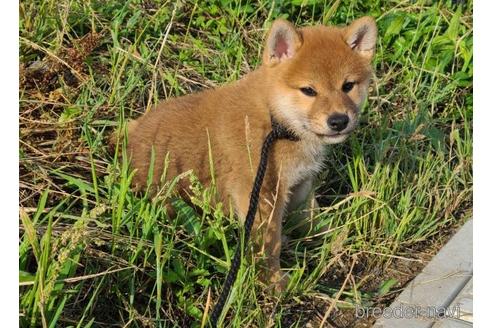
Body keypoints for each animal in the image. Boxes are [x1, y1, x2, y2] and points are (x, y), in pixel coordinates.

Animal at [126, 15, 376, 292]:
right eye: (309, 90)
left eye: (348, 86)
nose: (339, 120)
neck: (276, 122)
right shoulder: (259, 193)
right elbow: (268, 244)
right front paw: (274, 282)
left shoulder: (300, 184)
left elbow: (312, 219)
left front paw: (336, 238)